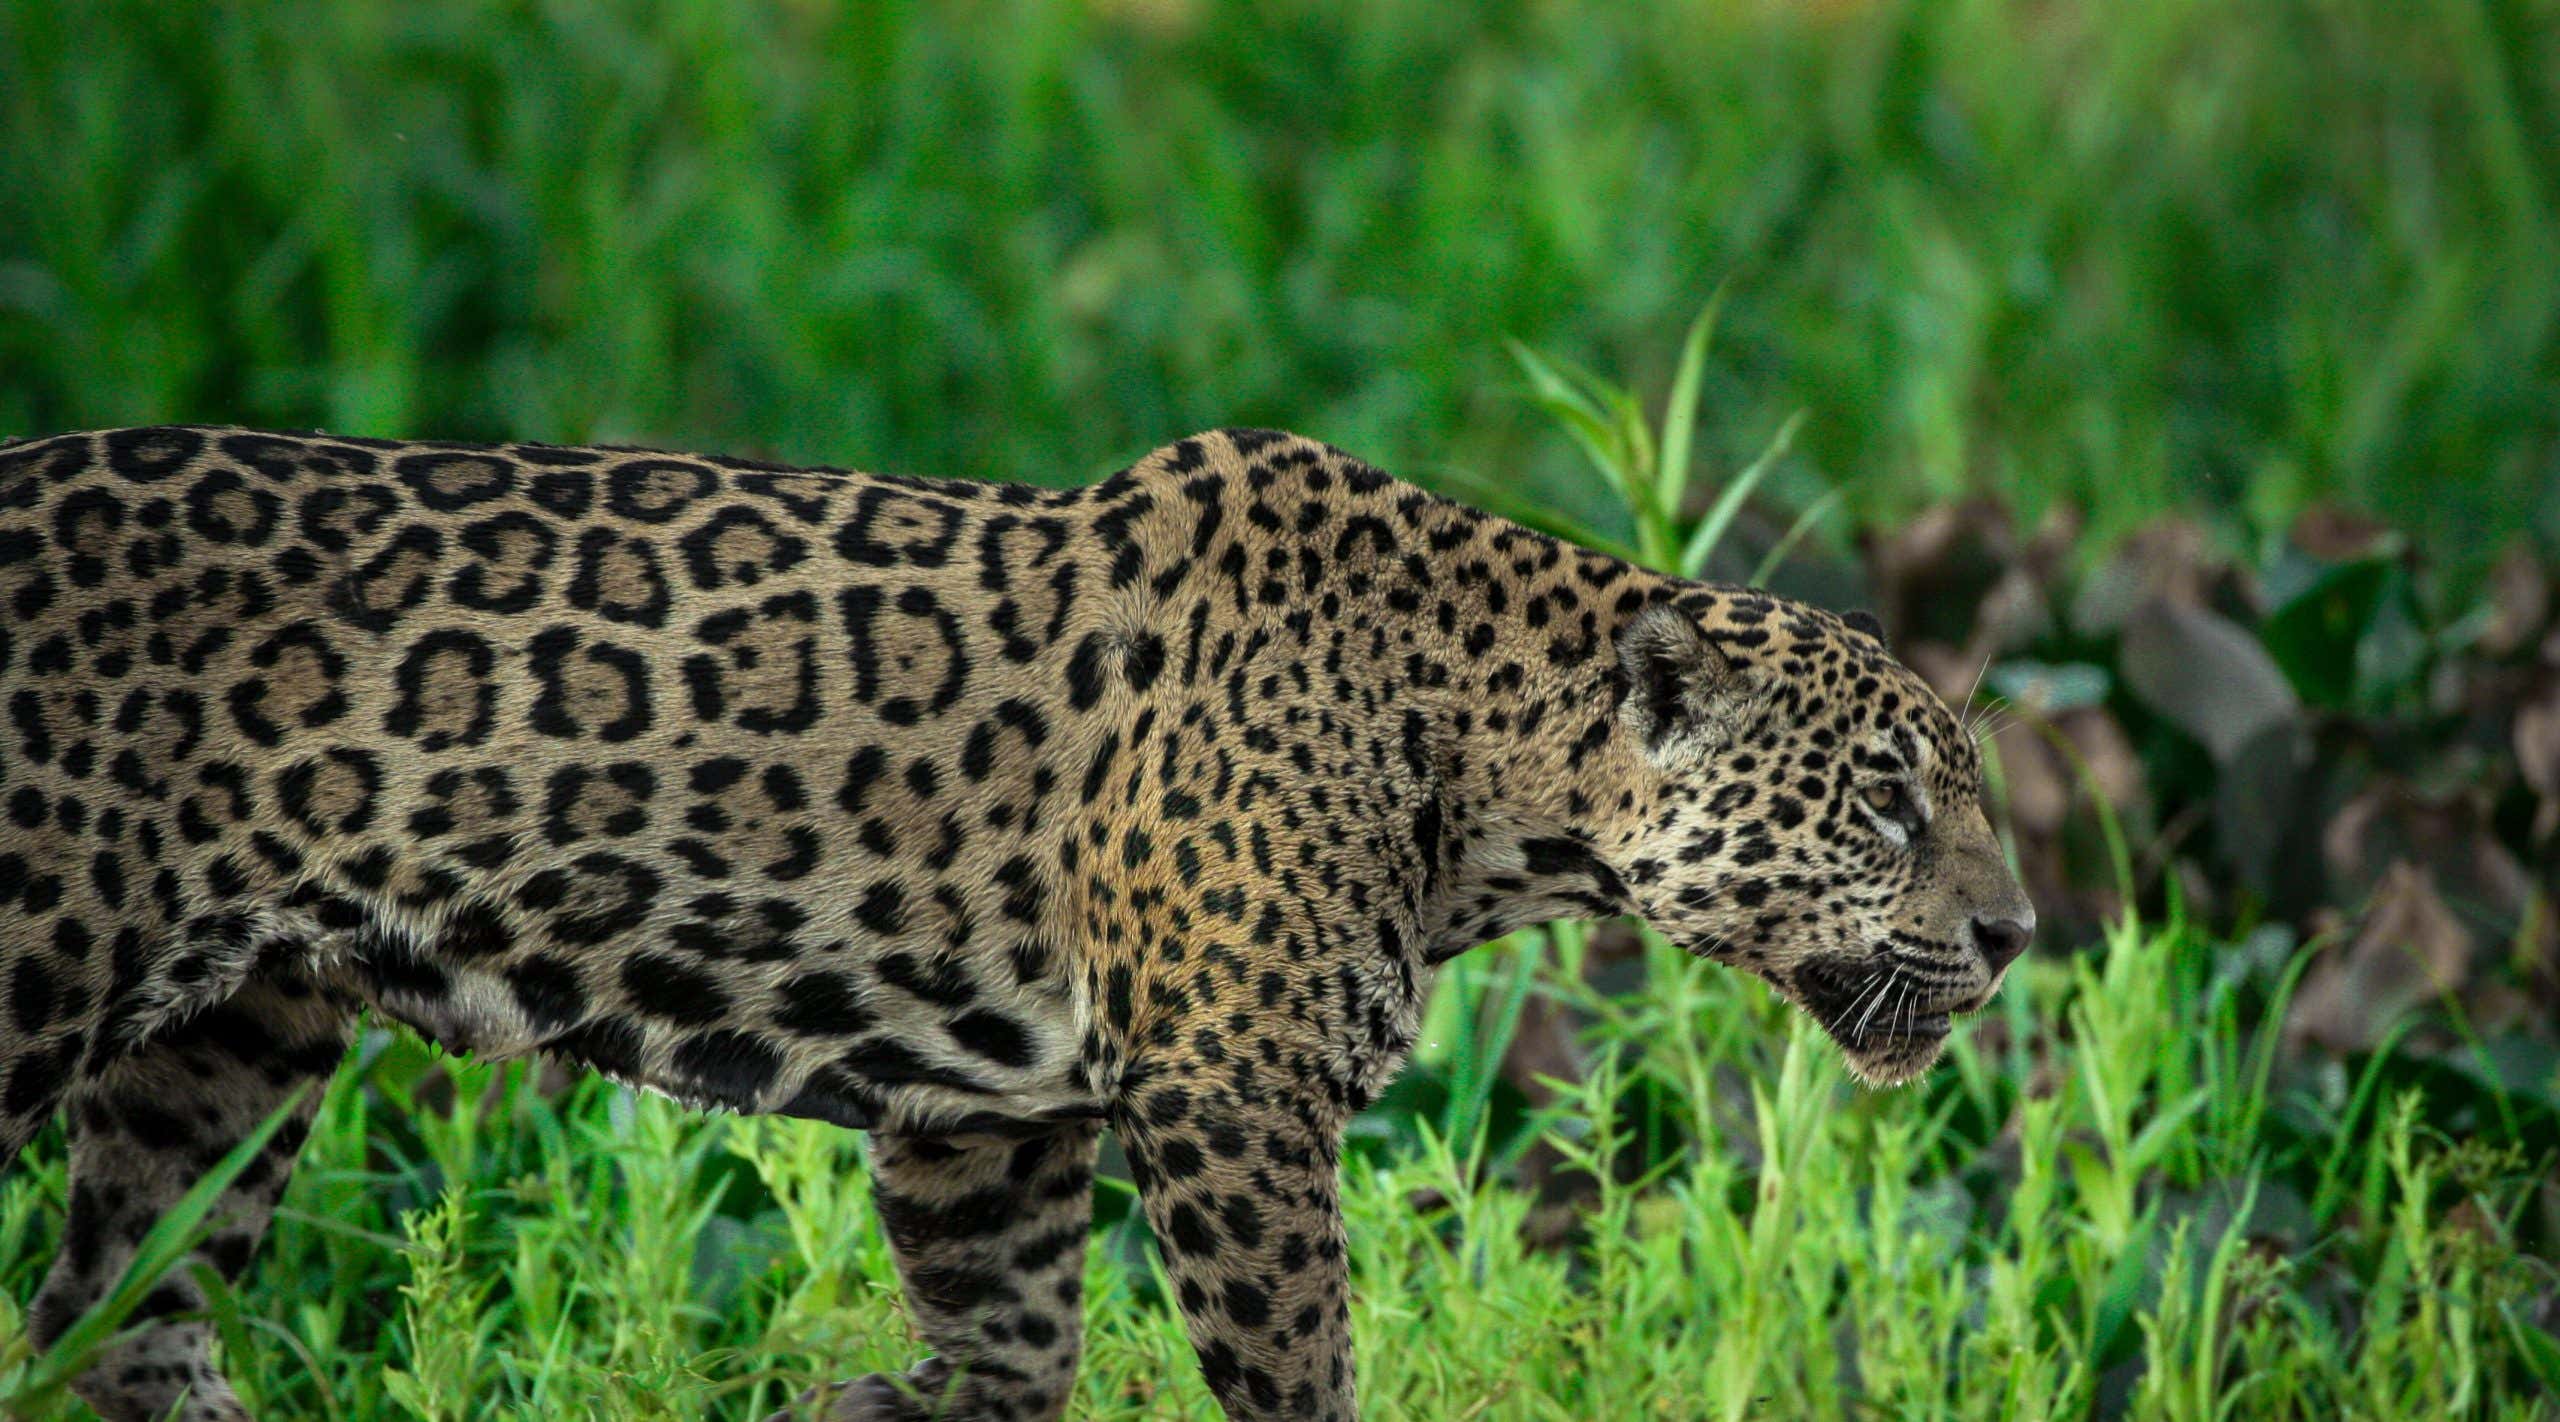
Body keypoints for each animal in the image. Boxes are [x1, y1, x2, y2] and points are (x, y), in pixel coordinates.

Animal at [0, 423, 2033, 1422]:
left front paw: (877, 1406)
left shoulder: (990, 1116)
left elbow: (1016, 1341)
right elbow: (1299, 1362)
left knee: (120, 1312)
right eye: (1886, 798)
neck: (1485, 770)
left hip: (231, 1039)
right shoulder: (1228, 1088)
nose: (2020, 934)